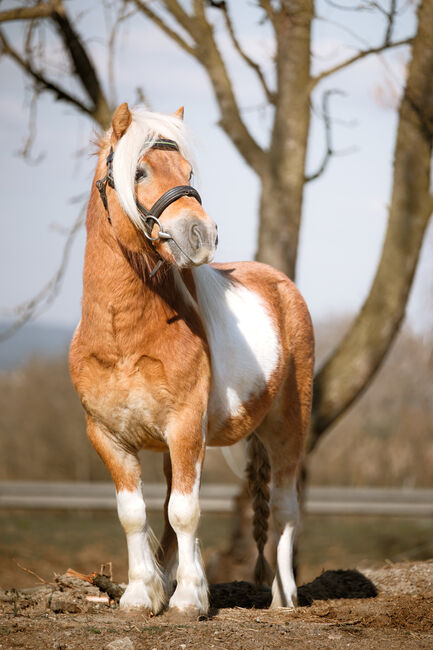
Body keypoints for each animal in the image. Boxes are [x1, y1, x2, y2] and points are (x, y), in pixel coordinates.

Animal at [69, 103, 314, 617]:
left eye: (188, 171)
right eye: (138, 171)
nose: (201, 234)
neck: (124, 336)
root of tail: (282, 285)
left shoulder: (185, 429)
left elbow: (185, 511)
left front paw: (187, 600)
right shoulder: (109, 437)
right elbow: (135, 514)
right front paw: (141, 595)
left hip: (287, 430)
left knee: (285, 510)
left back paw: (284, 598)